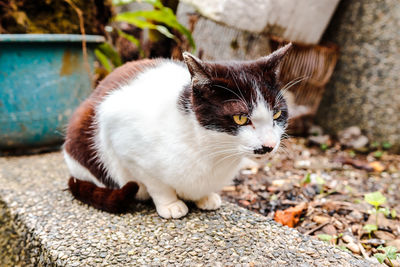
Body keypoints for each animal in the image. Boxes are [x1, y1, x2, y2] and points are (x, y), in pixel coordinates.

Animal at [64, 43, 292, 219]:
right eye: (241, 118)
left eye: (277, 114)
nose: (269, 145)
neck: (211, 150)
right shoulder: (124, 139)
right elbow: (156, 183)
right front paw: (170, 204)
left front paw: (205, 197)